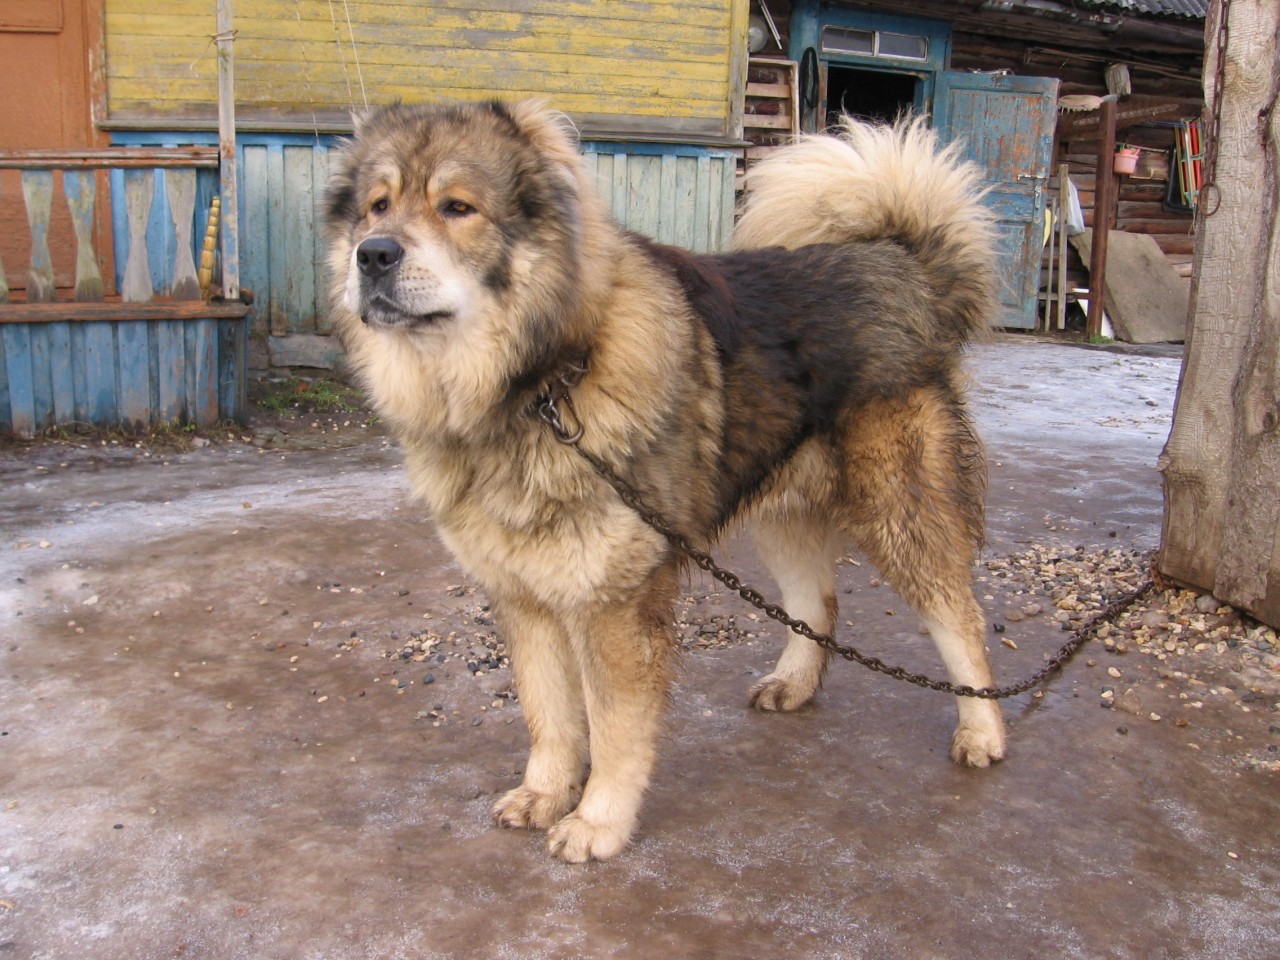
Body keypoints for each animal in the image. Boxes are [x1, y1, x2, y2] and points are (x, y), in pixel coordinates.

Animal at [325, 103, 1003, 865]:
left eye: (457, 208)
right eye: (377, 206)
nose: (373, 254)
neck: (541, 388)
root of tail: (902, 264)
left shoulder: (614, 603)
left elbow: (615, 725)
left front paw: (597, 821)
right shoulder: (524, 598)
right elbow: (549, 714)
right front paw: (544, 792)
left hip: (902, 514)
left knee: (959, 618)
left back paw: (982, 732)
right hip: (783, 511)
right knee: (819, 605)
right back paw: (795, 685)